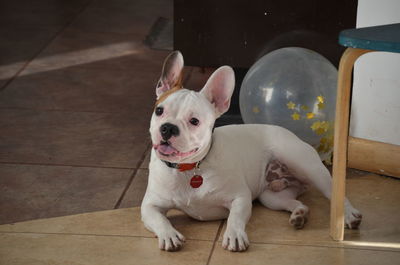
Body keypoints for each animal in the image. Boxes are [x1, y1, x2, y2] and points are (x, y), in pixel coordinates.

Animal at [141, 50, 362, 251]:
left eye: (194, 121)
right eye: (159, 111)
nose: (168, 128)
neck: (189, 168)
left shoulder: (240, 197)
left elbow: (235, 218)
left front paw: (234, 235)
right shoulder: (149, 206)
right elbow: (160, 219)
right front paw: (169, 235)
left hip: (307, 167)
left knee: (334, 194)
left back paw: (349, 215)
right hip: (271, 197)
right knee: (293, 201)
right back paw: (299, 214)